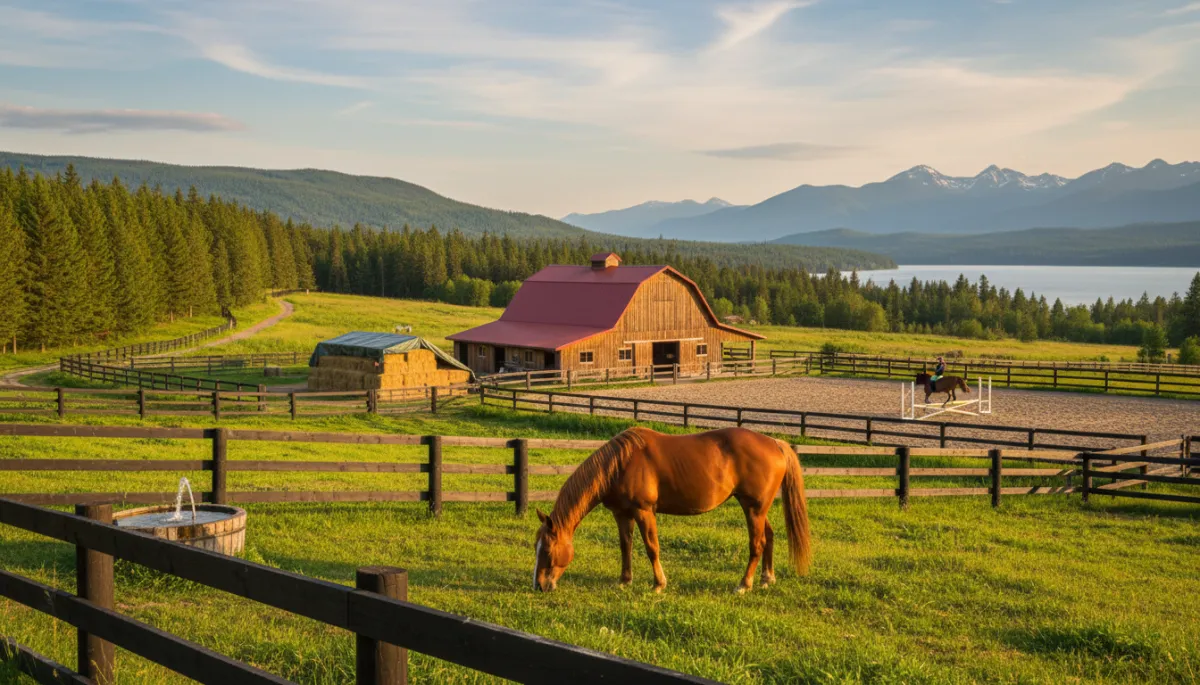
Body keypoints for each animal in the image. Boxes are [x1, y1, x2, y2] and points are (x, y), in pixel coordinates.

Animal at [533, 426, 811, 594]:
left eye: (547, 550)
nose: (539, 585)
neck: (620, 464)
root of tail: (775, 443)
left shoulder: (644, 512)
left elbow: (651, 548)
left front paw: (658, 585)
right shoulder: (622, 514)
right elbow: (626, 546)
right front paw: (624, 581)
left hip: (753, 509)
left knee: (757, 544)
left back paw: (744, 584)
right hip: (757, 508)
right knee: (770, 537)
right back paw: (767, 578)